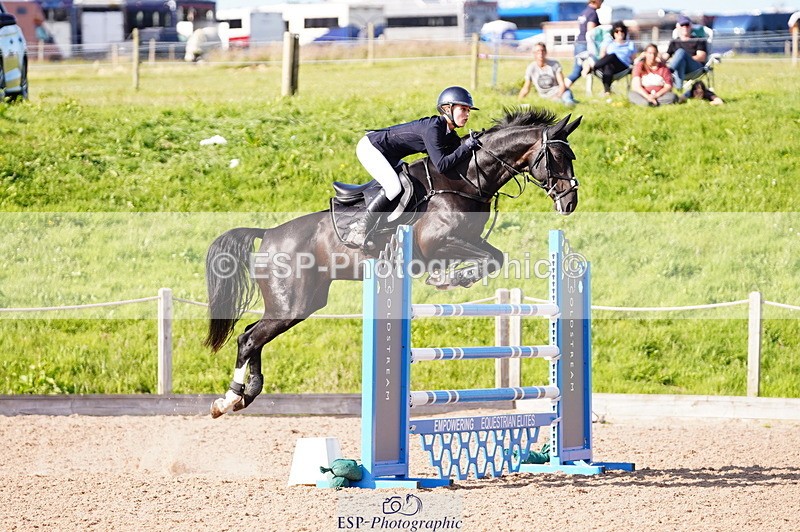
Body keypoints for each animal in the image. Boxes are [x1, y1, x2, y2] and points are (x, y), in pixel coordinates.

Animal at [205, 107, 582, 418]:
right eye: (558, 156)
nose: (570, 203)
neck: (466, 179)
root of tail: (268, 234)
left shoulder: (466, 242)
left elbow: (496, 256)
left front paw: (452, 279)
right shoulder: (438, 243)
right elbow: (490, 258)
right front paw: (448, 280)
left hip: (302, 303)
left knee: (253, 334)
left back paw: (246, 394)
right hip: (291, 303)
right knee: (248, 339)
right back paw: (229, 399)